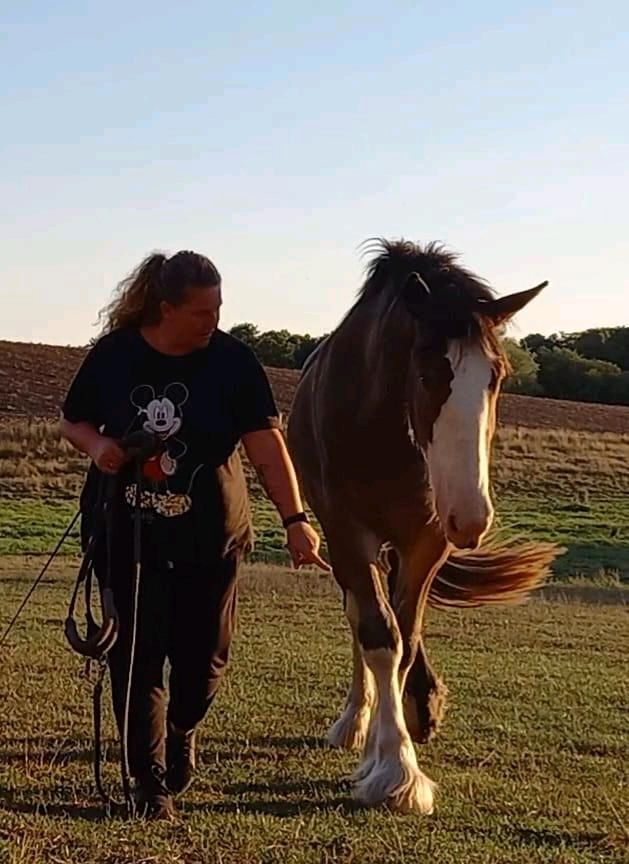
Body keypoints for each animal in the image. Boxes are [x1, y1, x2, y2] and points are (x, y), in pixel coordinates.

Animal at [288, 238, 560, 816]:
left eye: (496, 379)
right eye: (427, 376)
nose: (472, 516)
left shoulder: (427, 541)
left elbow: (405, 638)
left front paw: (396, 741)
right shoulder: (347, 533)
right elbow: (377, 634)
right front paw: (395, 769)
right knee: (360, 616)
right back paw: (356, 721)